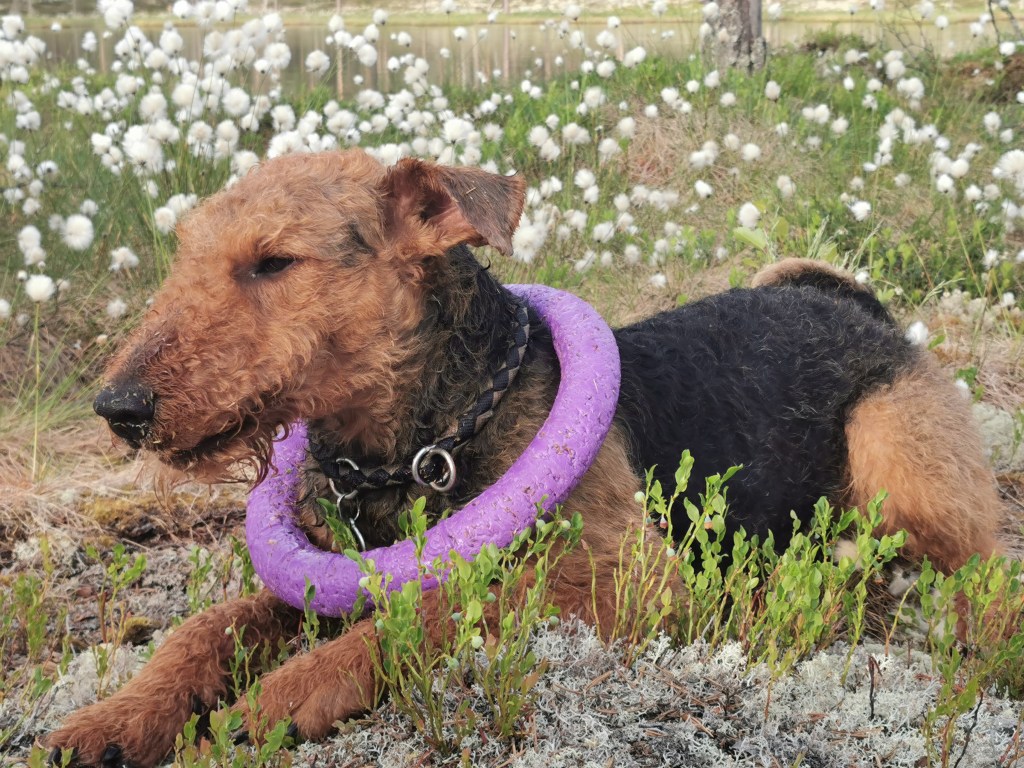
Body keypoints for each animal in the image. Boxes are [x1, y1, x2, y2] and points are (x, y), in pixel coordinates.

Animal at [47, 150, 1002, 767]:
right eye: (186, 252)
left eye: (275, 261)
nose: (118, 407)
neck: (420, 442)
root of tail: (857, 305)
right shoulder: (320, 572)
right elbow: (203, 632)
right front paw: (109, 723)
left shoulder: (631, 578)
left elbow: (437, 609)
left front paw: (272, 703)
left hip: (898, 458)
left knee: (969, 565)